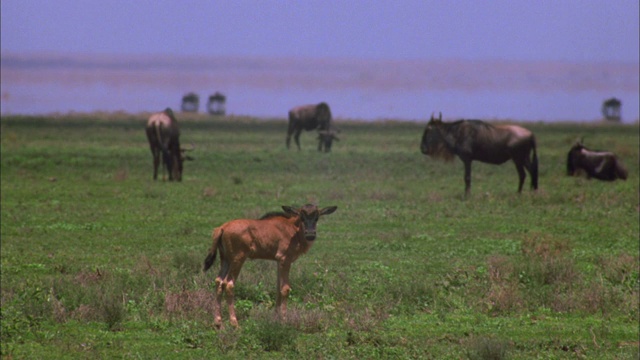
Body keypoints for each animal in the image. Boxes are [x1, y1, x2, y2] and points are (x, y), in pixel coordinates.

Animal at [204, 204, 340, 328]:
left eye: (317, 217)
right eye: (302, 217)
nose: (310, 234)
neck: (293, 229)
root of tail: (222, 228)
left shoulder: (279, 262)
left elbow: (278, 289)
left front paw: (275, 318)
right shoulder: (285, 260)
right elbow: (285, 289)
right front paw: (284, 321)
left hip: (225, 259)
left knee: (219, 281)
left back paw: (218, 321)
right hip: (238, 259)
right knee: (229, 284)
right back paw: (234, 323)